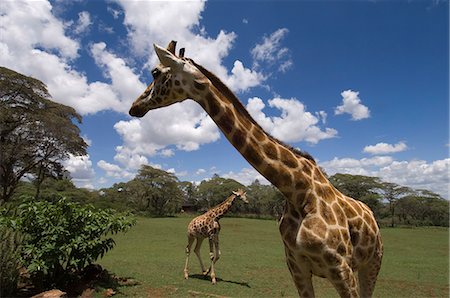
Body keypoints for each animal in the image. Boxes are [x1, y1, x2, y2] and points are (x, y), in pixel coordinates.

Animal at [127, 40, 384, 296]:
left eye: (155, 72)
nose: (134, 106)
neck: (298, 192)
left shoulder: (341, 269)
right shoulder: (296, 267)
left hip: (371, 265)